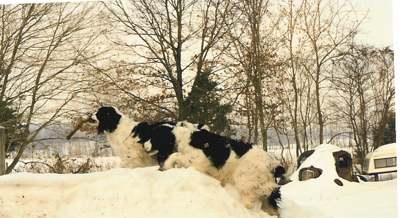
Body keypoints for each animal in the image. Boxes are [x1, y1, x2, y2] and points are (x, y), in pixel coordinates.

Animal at [89, 106, 286, 212]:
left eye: (98, 113)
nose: (88, 116)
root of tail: (273, 164)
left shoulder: (198, 161)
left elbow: (175, 156)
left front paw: (168, 165)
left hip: (246, 181)